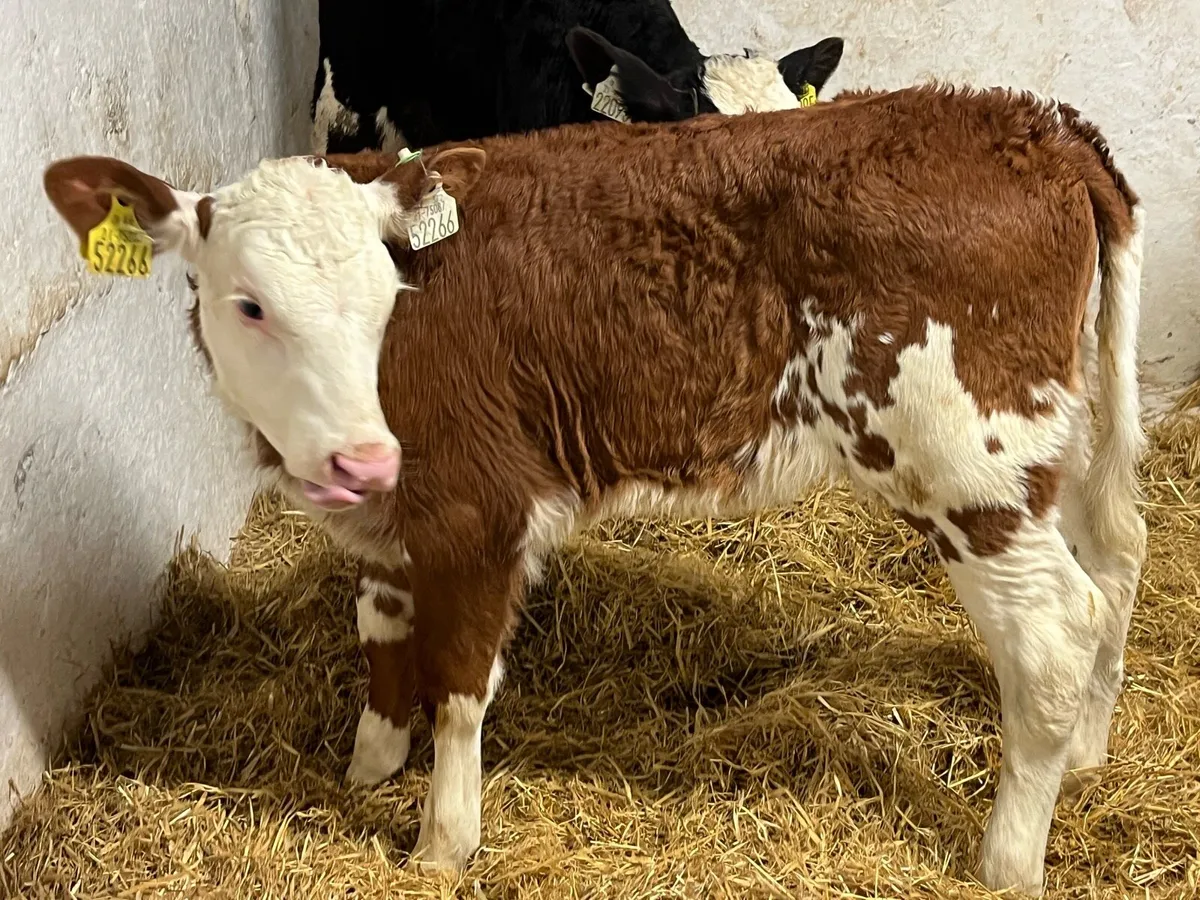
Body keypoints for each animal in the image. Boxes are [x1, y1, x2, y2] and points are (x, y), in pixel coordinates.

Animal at [44, 83, 1147, 896]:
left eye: (388, 296)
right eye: (249, 305)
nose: (361, 458)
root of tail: (1032, 124)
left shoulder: (474, 508)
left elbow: (456, 682)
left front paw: (441, 843)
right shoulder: (396, 523)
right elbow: (383, 635)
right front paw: (367, 767)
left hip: (970, 467)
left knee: (1055, 631)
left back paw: (1007, 858)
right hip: (1053, 448)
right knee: (1115, 563)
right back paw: (1090, 754)